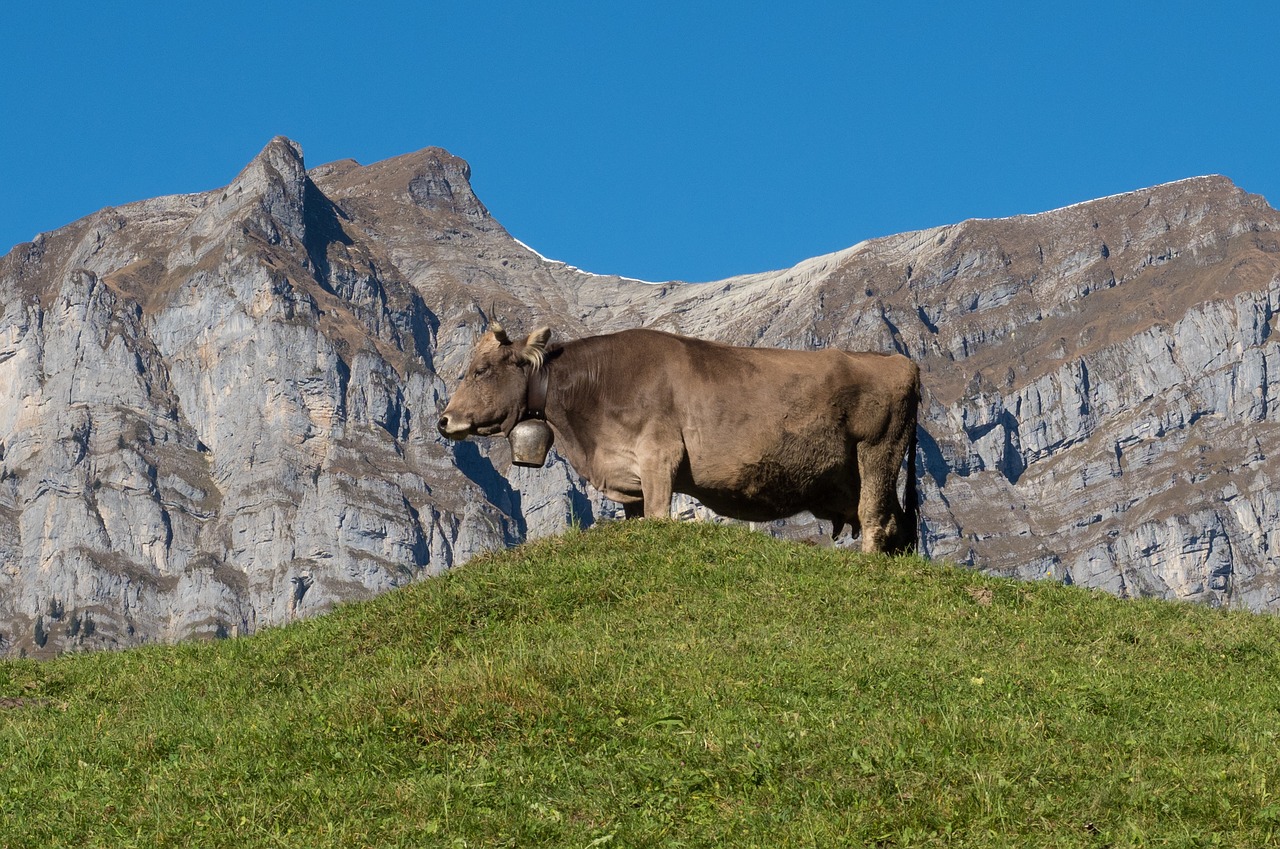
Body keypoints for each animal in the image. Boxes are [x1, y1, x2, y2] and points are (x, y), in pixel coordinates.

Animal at [437, 323, 921, 554]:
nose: (443, 421)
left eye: (481, 370)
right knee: (899, 525)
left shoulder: (659, 458)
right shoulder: (628, 475)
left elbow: (657, 515)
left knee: (876, 520)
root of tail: (900, 362)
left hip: (878, 451)